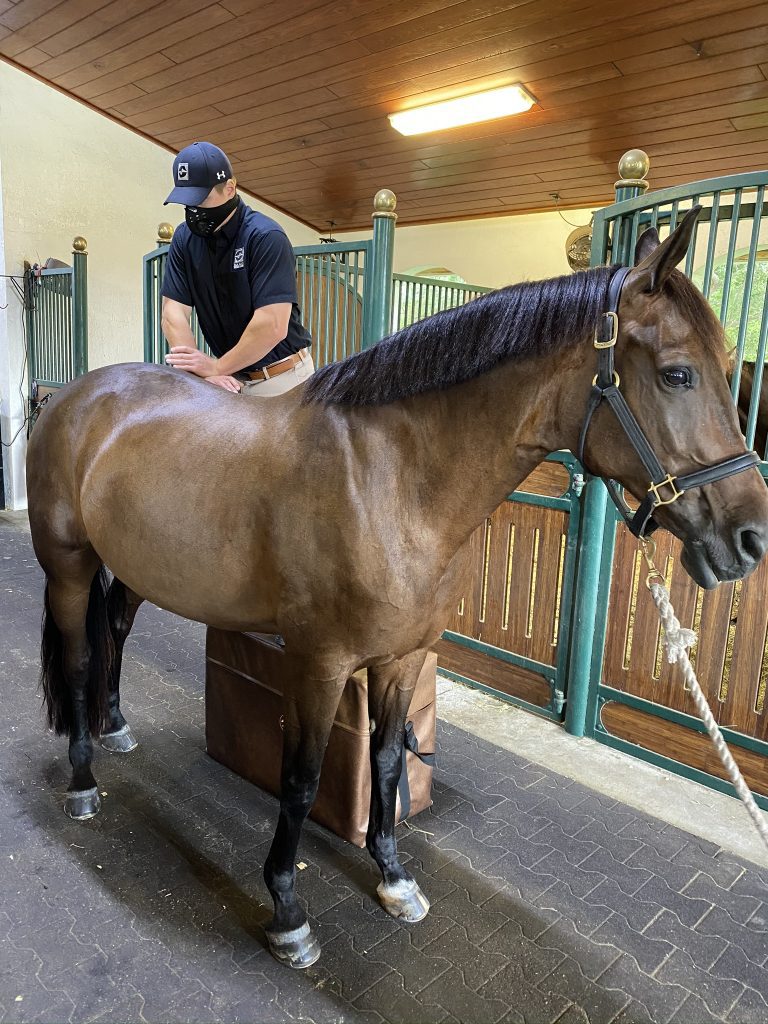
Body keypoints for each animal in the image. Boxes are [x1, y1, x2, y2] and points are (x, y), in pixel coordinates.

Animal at [26, 208, 768, 969]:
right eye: (678, 374)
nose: (750, 538)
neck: (389, 480)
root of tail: (76, 396)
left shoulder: (404, 657)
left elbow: (385, 759)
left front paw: (392, 875)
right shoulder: (319, 664)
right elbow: (299, 780)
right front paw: (287, 910)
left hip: (136, 568)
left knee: (116, 631)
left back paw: (116, 726)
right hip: (68, 566)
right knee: (80, 659)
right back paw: (83, 781)